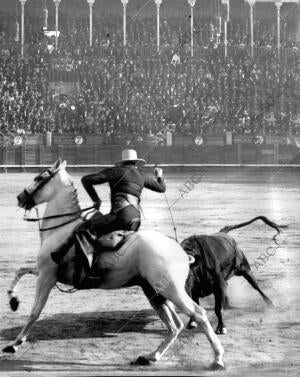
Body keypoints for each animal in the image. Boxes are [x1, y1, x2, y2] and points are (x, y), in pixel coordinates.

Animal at [1, 158, 223, 368]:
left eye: (39, 177)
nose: (20, 198)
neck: (60, 229)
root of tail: (180, 251)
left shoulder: (47, 276)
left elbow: (34, 312)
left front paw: (15, 343)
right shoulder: (44, 271)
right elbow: (21, 270)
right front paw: (13, 300)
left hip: (172, 290)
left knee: (198, 314)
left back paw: (218, 358)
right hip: (154, 292)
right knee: (175, 325)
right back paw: (151, 356)